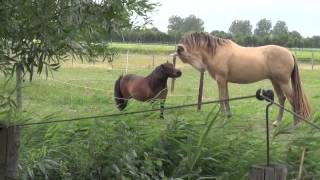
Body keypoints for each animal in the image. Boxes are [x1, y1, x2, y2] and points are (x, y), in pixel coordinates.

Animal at [174, 31, 312, 126]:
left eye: (185, 56)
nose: (203, 68)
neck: (217, 52)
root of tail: (289, 52)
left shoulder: (220, 80)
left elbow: (221, 99)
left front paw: (222, 117)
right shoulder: (225, 81)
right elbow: (227, 98)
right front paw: (228, 116)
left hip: (283, 82)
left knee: (292, 99)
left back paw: (296, 124)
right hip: (275, 81)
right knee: (282, 98)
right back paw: (277, 123)